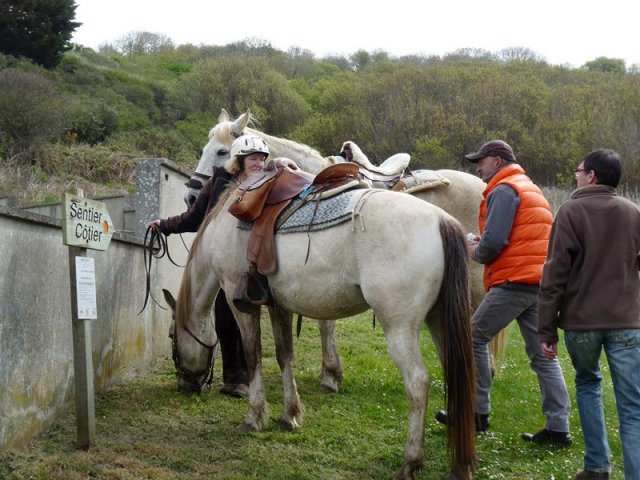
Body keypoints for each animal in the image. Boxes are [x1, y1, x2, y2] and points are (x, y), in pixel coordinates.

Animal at [163, 185, 476, 480]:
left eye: (171, 337)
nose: (185, 384)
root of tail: (442, 220)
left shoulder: (238, 301)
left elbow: (254, 356)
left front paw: (254, 417)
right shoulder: (279, 306)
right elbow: (284, 355)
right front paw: (289, 414)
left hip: (400, 328)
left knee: (418, 383)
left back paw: (411, 462)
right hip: (439, 322)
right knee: (457, 375)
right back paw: (461, 465)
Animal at [183, 109, 504, 393]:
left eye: (221, 152)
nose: (190, 196)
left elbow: (326, 323)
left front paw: (331, 374)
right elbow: (325, 321)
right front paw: (331, 372)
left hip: (474, 283)